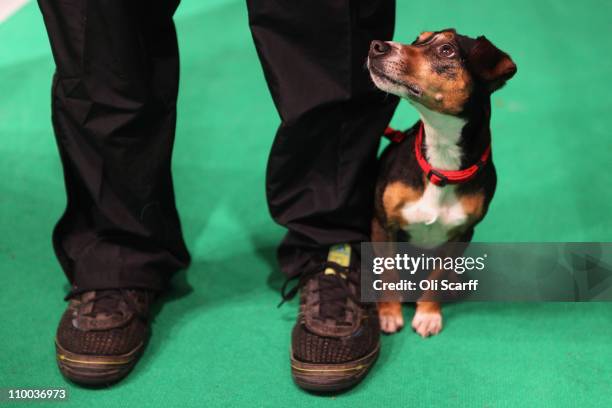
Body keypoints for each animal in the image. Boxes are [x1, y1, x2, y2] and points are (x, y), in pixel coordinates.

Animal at [368, 30, 516, 338]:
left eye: (447, 50)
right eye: (418, 39)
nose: (376, 46)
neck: (441, 162)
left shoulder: (461, 235)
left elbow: (437, 278)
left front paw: (427, 315)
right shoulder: (383, 223)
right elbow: (388, 274)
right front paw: (389, 314)